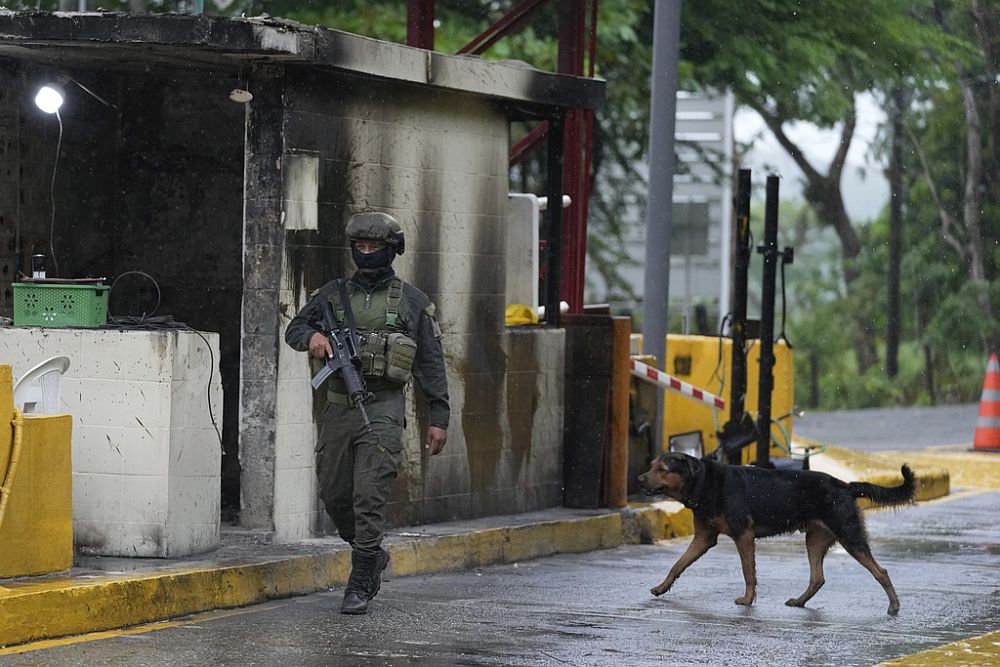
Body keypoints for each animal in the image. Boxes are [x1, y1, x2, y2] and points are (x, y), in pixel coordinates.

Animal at [640, 454, 916, 616]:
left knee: (881, 571)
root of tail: (846, 486)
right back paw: (800, 602)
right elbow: (677, 565)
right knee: (818, 578)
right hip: (815, 538)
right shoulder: (703, 538)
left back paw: (894, 606)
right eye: (651, 466)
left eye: (663, 469)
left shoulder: (743, 535)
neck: (707, 481)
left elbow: (748, 572)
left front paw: (748, 599)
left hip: (849, 536)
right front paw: (661, 588)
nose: (639, 478)